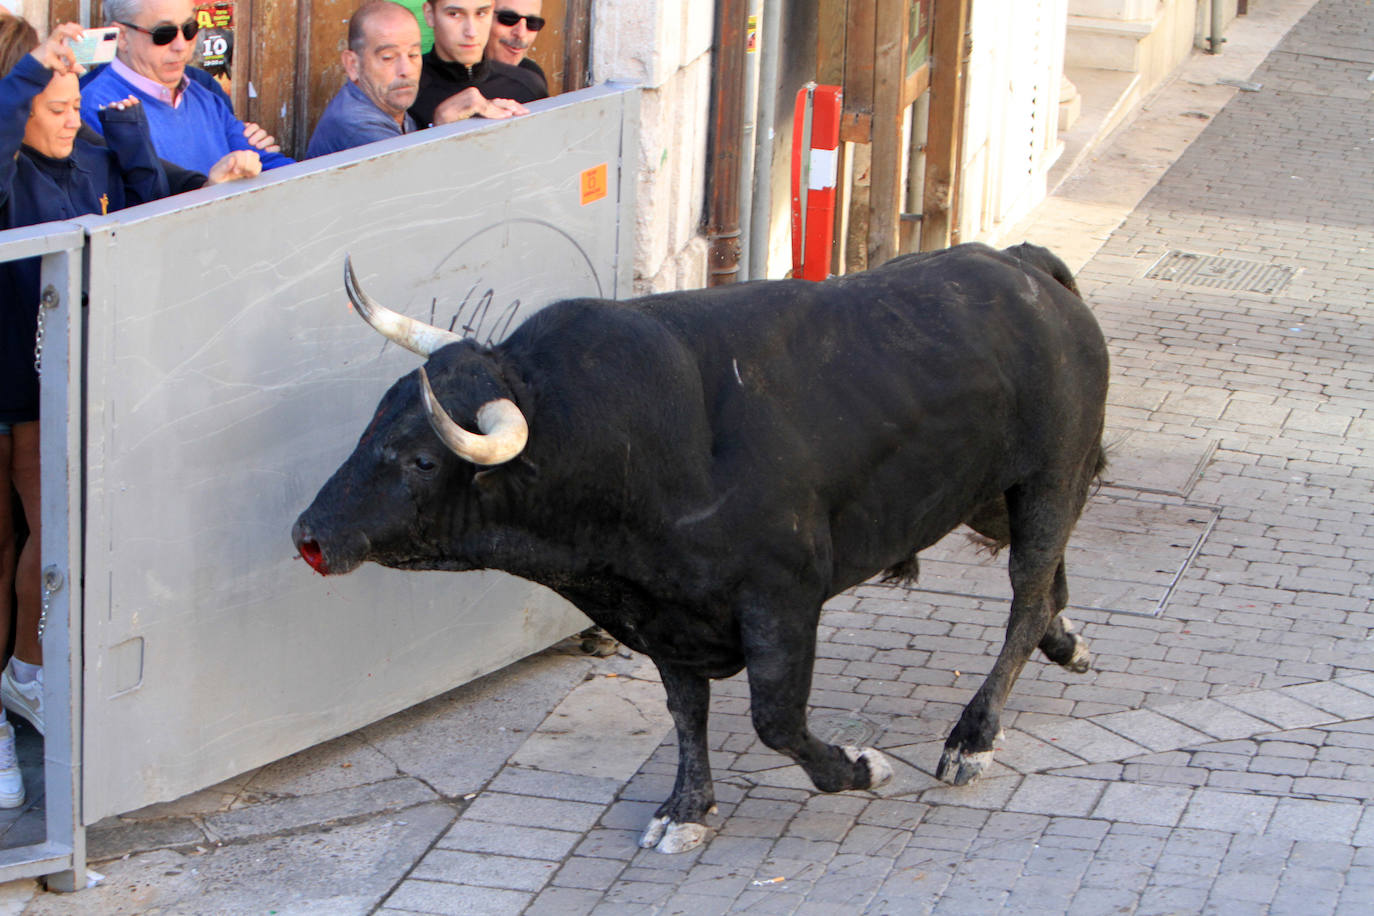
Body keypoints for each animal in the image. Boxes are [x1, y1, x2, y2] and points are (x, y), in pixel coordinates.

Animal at [289, 241, 1104, 851]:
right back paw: (1068, 645)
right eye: (375, 418)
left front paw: (862, 768)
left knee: (1026, 597)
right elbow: (686, 713)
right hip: (989, 498)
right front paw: (685, 810)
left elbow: (776, 720)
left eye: (423, 461)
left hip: (1049, 478)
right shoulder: (663, 617)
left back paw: (973, 737)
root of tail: (1024, 266)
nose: (310, 537)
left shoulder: (781, 601)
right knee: (1048, 588)